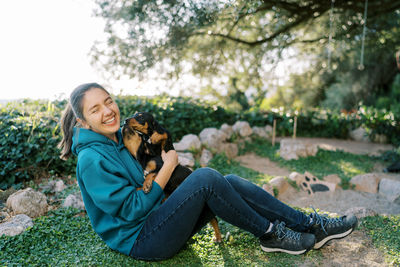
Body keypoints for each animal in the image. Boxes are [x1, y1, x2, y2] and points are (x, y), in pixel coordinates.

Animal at [122, 112, 222, 244]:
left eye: (141, 117)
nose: (125, 121)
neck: (145, 155)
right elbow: (144, 179)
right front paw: (142, 187)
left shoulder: (161, 164)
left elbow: (150, 172)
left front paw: (147, 185)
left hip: (207, 208)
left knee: (214, 220)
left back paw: (218, 237)